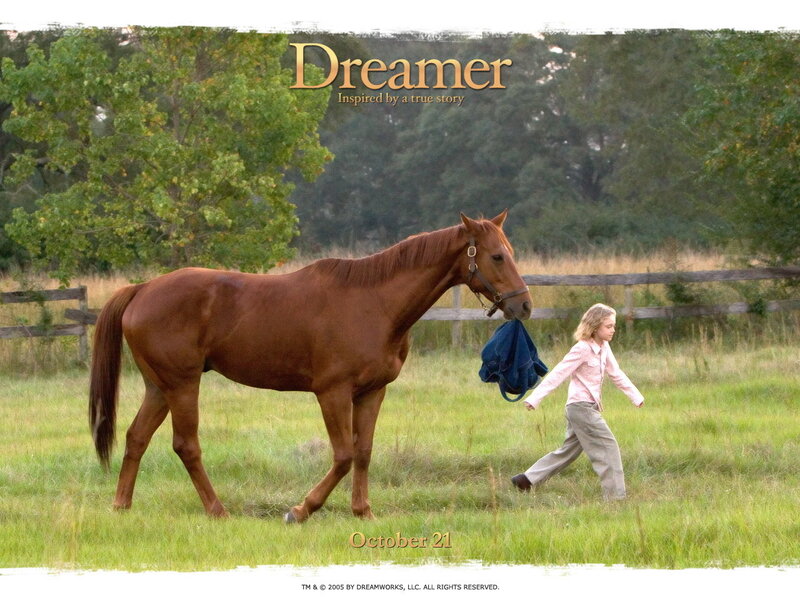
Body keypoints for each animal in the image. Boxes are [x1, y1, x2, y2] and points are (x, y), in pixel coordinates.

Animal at [89, 211, 532, 523]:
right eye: (496, 256)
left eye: (512, 252)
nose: (524, 305)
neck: (374, 302)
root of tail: (143, 289)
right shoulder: (332, 392)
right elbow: (343, 454)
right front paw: (301, 510)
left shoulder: (372, 392)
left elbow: (364, 451)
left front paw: (363, 511)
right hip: (182, 385)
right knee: (186, 445)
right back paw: (217, 510)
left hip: (159, 386)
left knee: (136, 437)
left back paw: (121, 505)